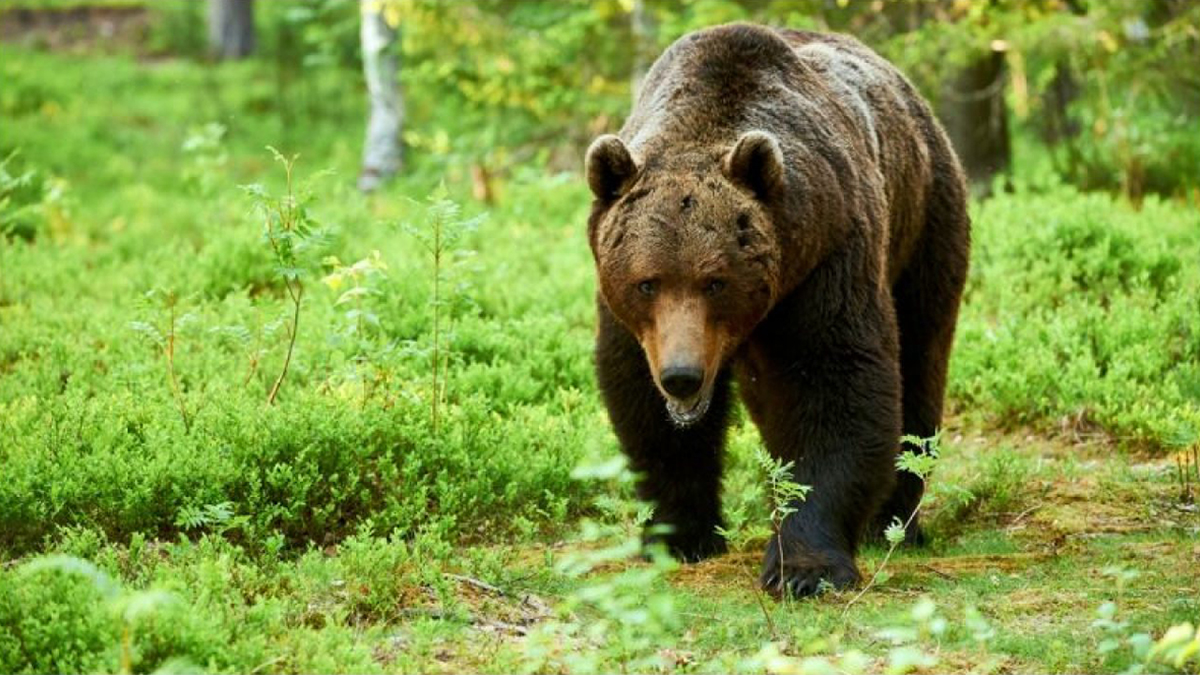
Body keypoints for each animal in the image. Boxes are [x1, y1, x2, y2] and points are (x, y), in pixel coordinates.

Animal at [585, 23, 969, 595]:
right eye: (647, 282)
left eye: (716, 281)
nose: (682, 376)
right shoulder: (630, 321)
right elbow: (643, 405)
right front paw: (681, 536)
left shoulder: (828, 262)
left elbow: (836, 388)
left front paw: (805, 567)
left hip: (924, 222)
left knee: (921, 358)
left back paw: (895, 523)